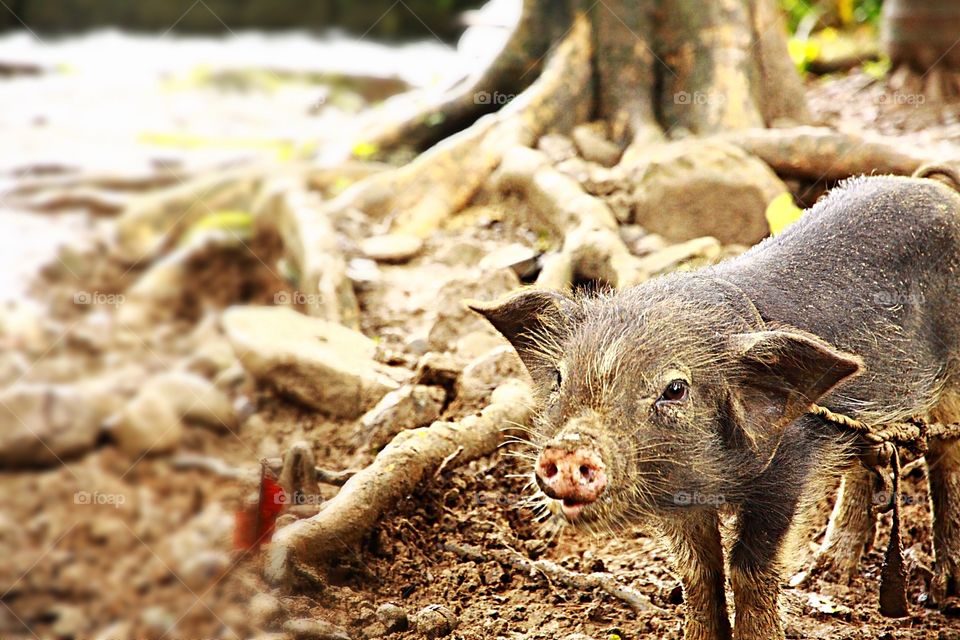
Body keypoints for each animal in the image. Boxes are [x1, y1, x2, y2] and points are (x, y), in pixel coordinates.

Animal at [470, 172, 960, 640]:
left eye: (675, 389)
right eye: (559, 378)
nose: (571, 448)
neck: (716, 483)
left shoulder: (788, 472)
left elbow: (748, 567)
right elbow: (698, 571)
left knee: (945, 454)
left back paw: (944, 594)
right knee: (867, 457)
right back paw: (826, 573)